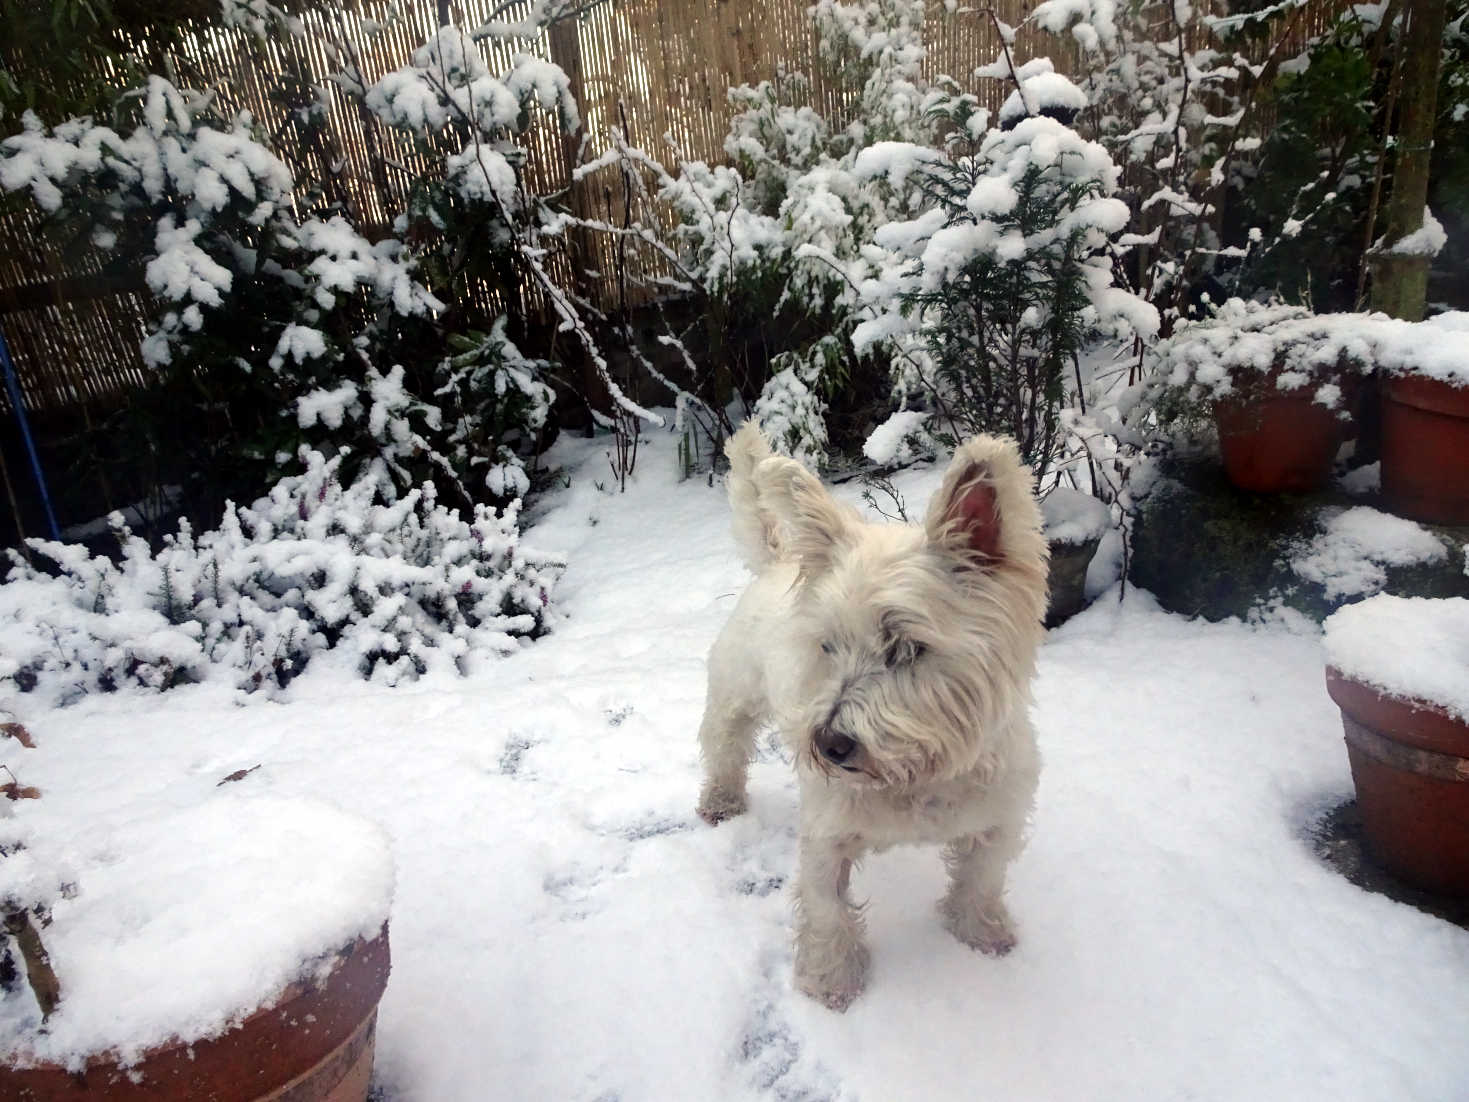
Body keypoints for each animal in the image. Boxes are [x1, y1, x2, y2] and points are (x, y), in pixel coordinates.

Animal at [696, 423, 1051, 1010]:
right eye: (828, 646)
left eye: (905, 648)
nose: (828, 745)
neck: (914, 776)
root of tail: (777, 562)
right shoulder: (827, 834)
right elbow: (827, 908)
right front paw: (830, 982)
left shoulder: (996, 817)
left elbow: (980, 877)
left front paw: (982, 934)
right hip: (735, 693)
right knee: (724, 744)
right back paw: (720, 801)